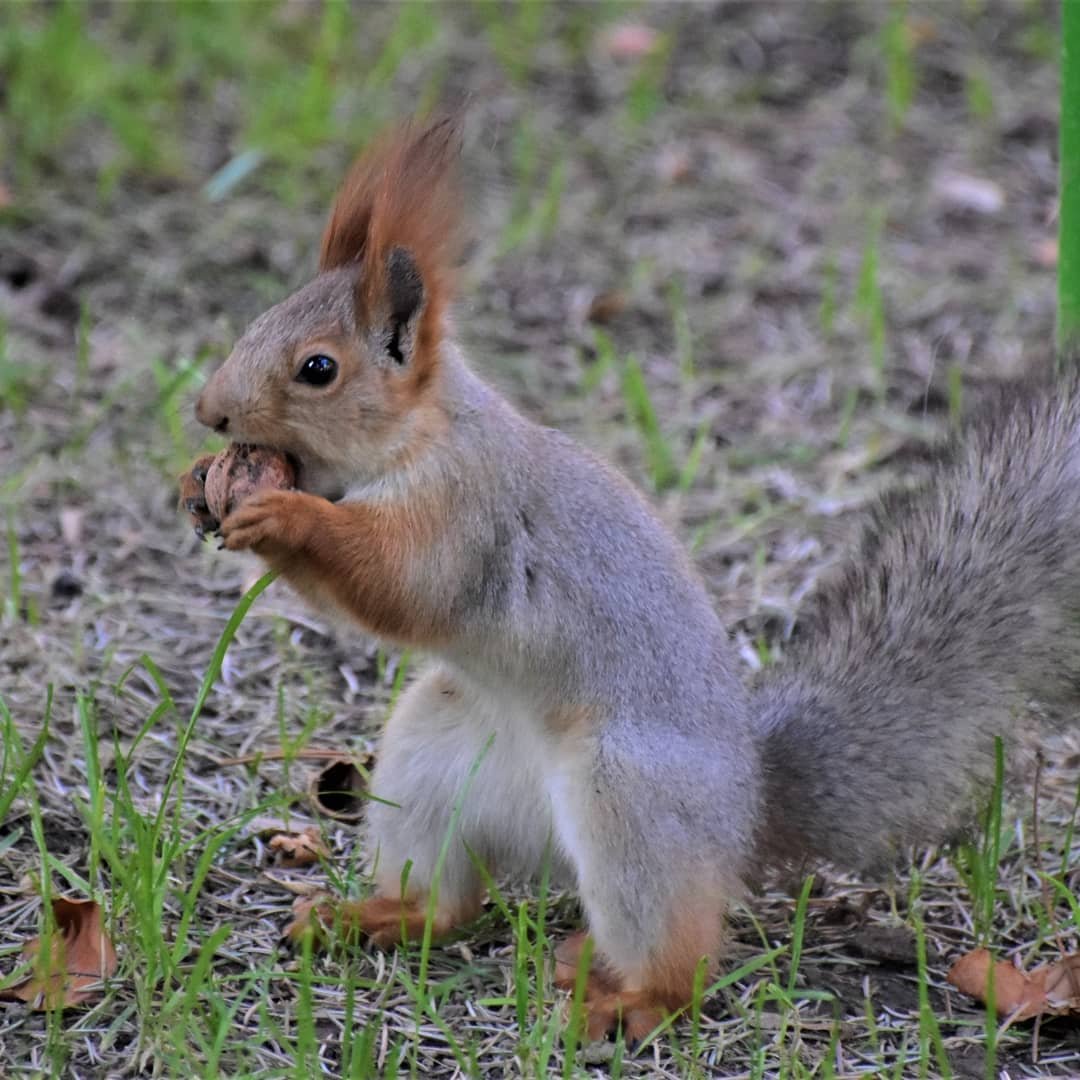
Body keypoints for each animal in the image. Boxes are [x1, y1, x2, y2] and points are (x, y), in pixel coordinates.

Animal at [179, 118, 1080, 1036]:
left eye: (317, 369)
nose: (210, 413)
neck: (419, 438)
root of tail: (744, 814)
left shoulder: (468, 514)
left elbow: (402, 584)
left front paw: (284, 517)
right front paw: (199, 485)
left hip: (628, 802)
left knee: (681, 963)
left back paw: (622, 1003)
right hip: (431, 756)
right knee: (448, 904)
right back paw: (368, 918)